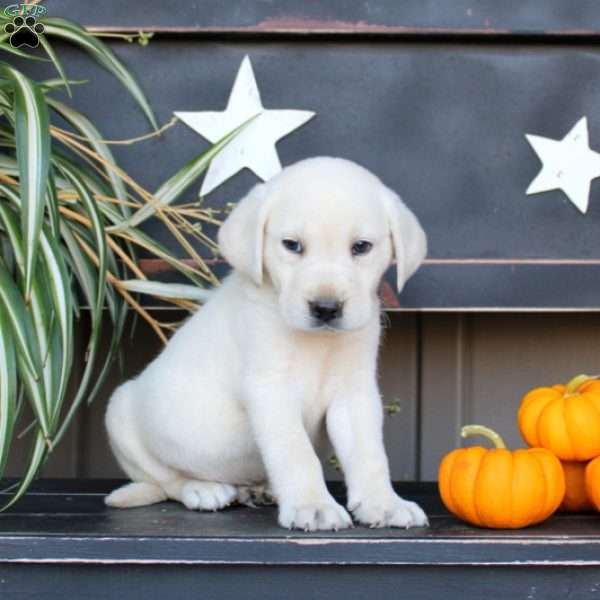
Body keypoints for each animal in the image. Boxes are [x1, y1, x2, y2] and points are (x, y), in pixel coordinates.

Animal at [105, 155, 428, 528]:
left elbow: (369, 454)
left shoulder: (354, 395)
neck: (318, 344)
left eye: (361, 247)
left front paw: (383, 503)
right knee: (167, 481)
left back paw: (259, 489)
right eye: (292, 245)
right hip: (121, 414)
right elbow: (296, 452)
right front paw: (312, 506)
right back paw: (203, 489)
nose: (326, 308)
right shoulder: (271, 391)